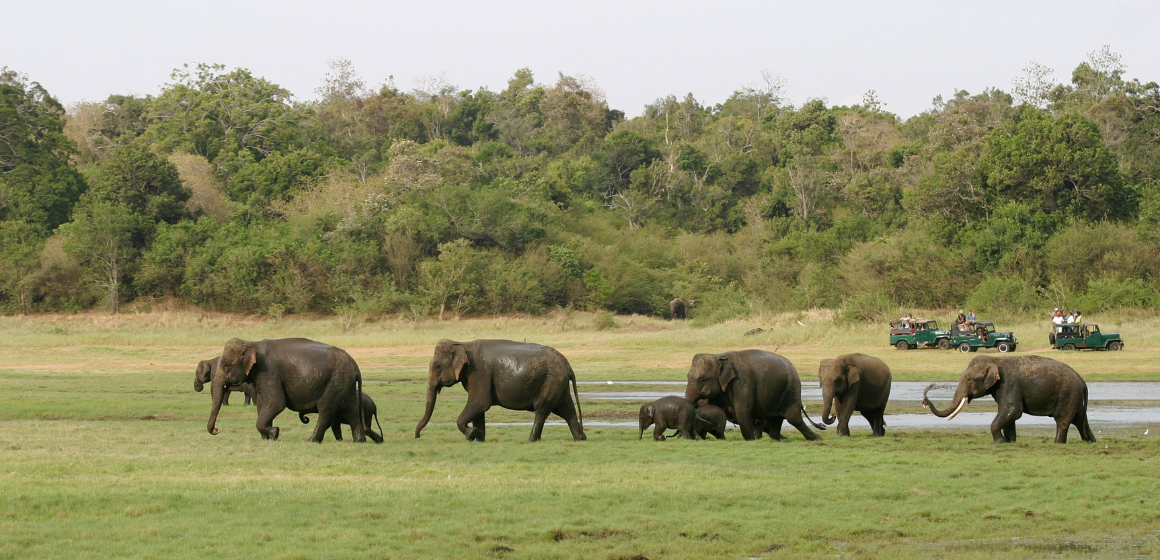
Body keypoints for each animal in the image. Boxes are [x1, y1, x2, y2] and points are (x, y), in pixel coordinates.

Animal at [207, 338, 366, 443]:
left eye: (225, 365)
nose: (216, 430)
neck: (252, 343)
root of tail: (356, 367)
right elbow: (262, 403)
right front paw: (267, 438)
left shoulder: (269, 372)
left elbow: (276, 403)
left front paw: (274, 433)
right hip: (345, 384)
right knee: (351, 410)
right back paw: (359, 440)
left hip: (336, 382)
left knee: (325, 408)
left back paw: (311, 440)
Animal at [414, 339, 585, 442]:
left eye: (437, 366)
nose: (417, 437)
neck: (463, 344)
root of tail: (567, 364)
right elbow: (479, 410)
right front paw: (479, 439)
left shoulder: (480, 373)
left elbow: (479, 403)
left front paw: (471, 434)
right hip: (558, 384)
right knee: (567, 409)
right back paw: (580, 438)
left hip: (551, 381)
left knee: (542, 409)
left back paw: (531, 440)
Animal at [684, 350, 825, 441]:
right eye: (687, 376)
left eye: (702, 379)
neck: (719, 355)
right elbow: (715, 408)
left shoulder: (742, 382)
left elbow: (743, 410)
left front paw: (751, 440)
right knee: (776, 419)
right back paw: (775, 439)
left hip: (791, 390)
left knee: (793, 417)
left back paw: (817, 438)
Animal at [922, 354, 1095, 444]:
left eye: (969, 379)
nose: (925, 399)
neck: (996, 359)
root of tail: (1082, 381)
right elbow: (1008, 413)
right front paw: (1011, 441)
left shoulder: (1009, 384)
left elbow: (1013, 410)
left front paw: (999, 442)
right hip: (1075, 397)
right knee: (1080, 419)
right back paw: (1090, 441)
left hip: (1067, 394)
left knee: (1063, 420)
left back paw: (1058, 443)